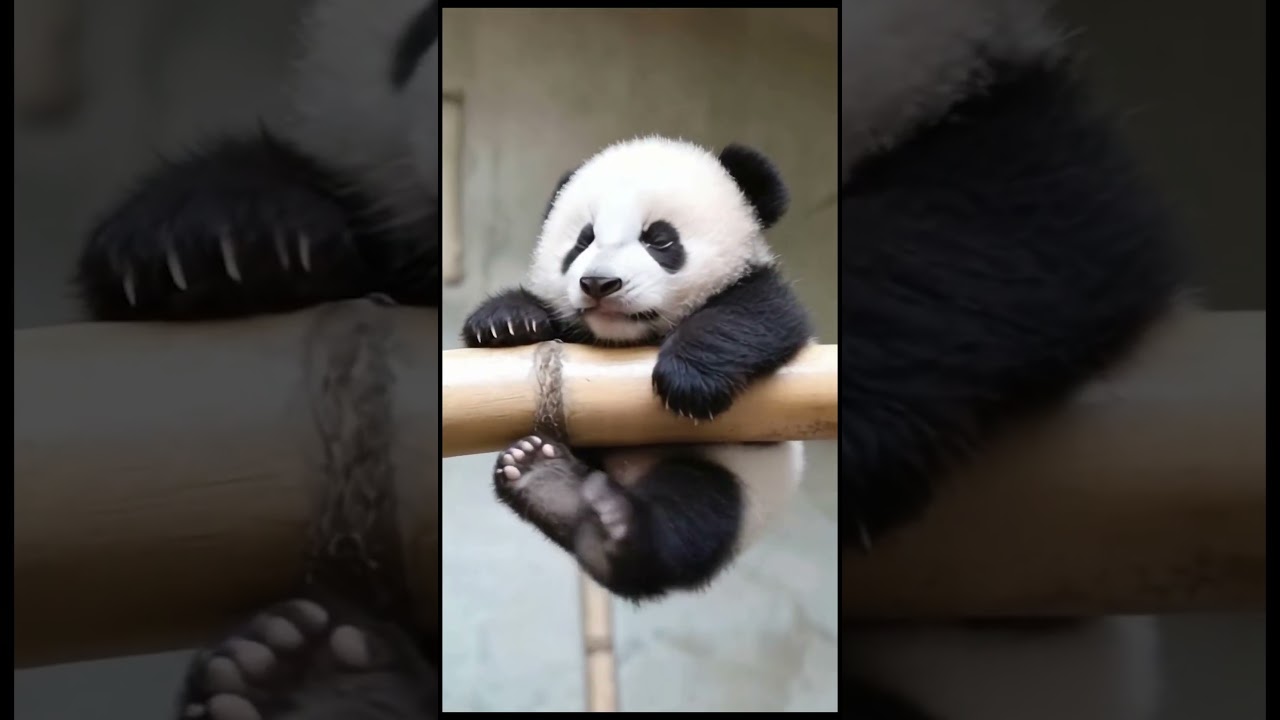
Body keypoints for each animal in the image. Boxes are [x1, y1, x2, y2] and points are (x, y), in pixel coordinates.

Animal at [461, 136, 815, 601]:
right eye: (583, 241)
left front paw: (687, 380)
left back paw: (599, 519)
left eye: (659, 240)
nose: (598, 283)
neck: (625, 339)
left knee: (688, 516)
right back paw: (547, 481)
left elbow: (758, 313)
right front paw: (506, 321)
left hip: (737, 479)